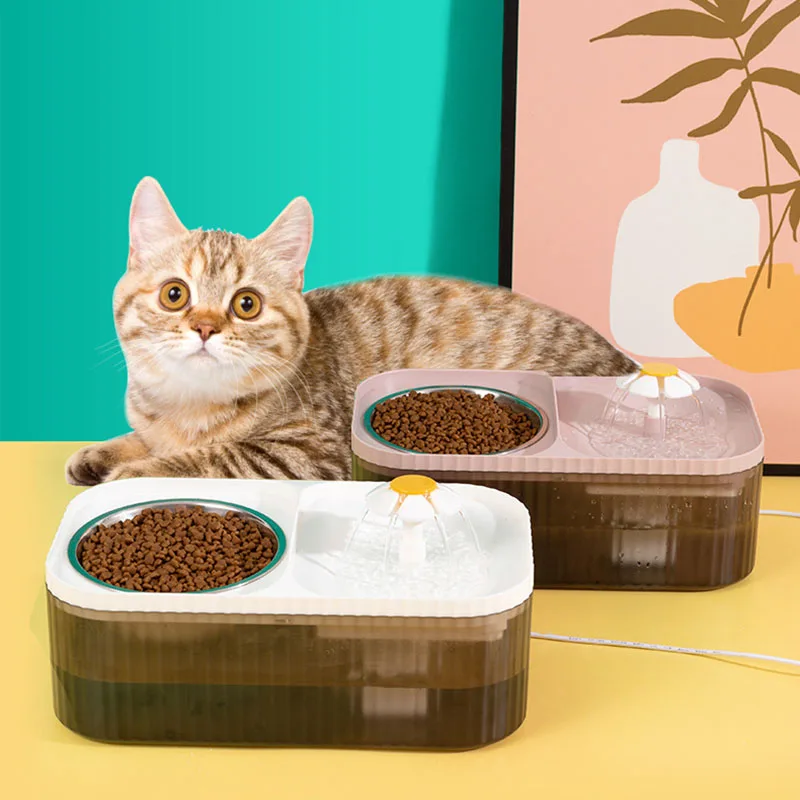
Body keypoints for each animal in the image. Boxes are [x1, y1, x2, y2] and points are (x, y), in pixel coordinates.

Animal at [66, 177, 637, 486]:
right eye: (174, 294)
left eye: (246, 305)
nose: (205, 326)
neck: (187, 408)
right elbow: (142, 438)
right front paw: (102, 453)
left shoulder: (310, 452)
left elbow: (209, 457)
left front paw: (132, 474)